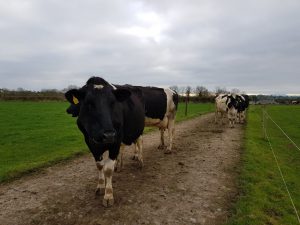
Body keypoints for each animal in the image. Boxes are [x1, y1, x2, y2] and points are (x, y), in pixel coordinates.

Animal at [65, 78, 145, 207]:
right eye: (89, 103)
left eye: (113, 103)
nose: (109, 135)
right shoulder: (90, 143)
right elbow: (100, 166)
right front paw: (101, 186)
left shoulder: (116, 141)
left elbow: (108, 169)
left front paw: (108, 195)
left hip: (139, 130)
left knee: (139, 143)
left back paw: (140, 161)